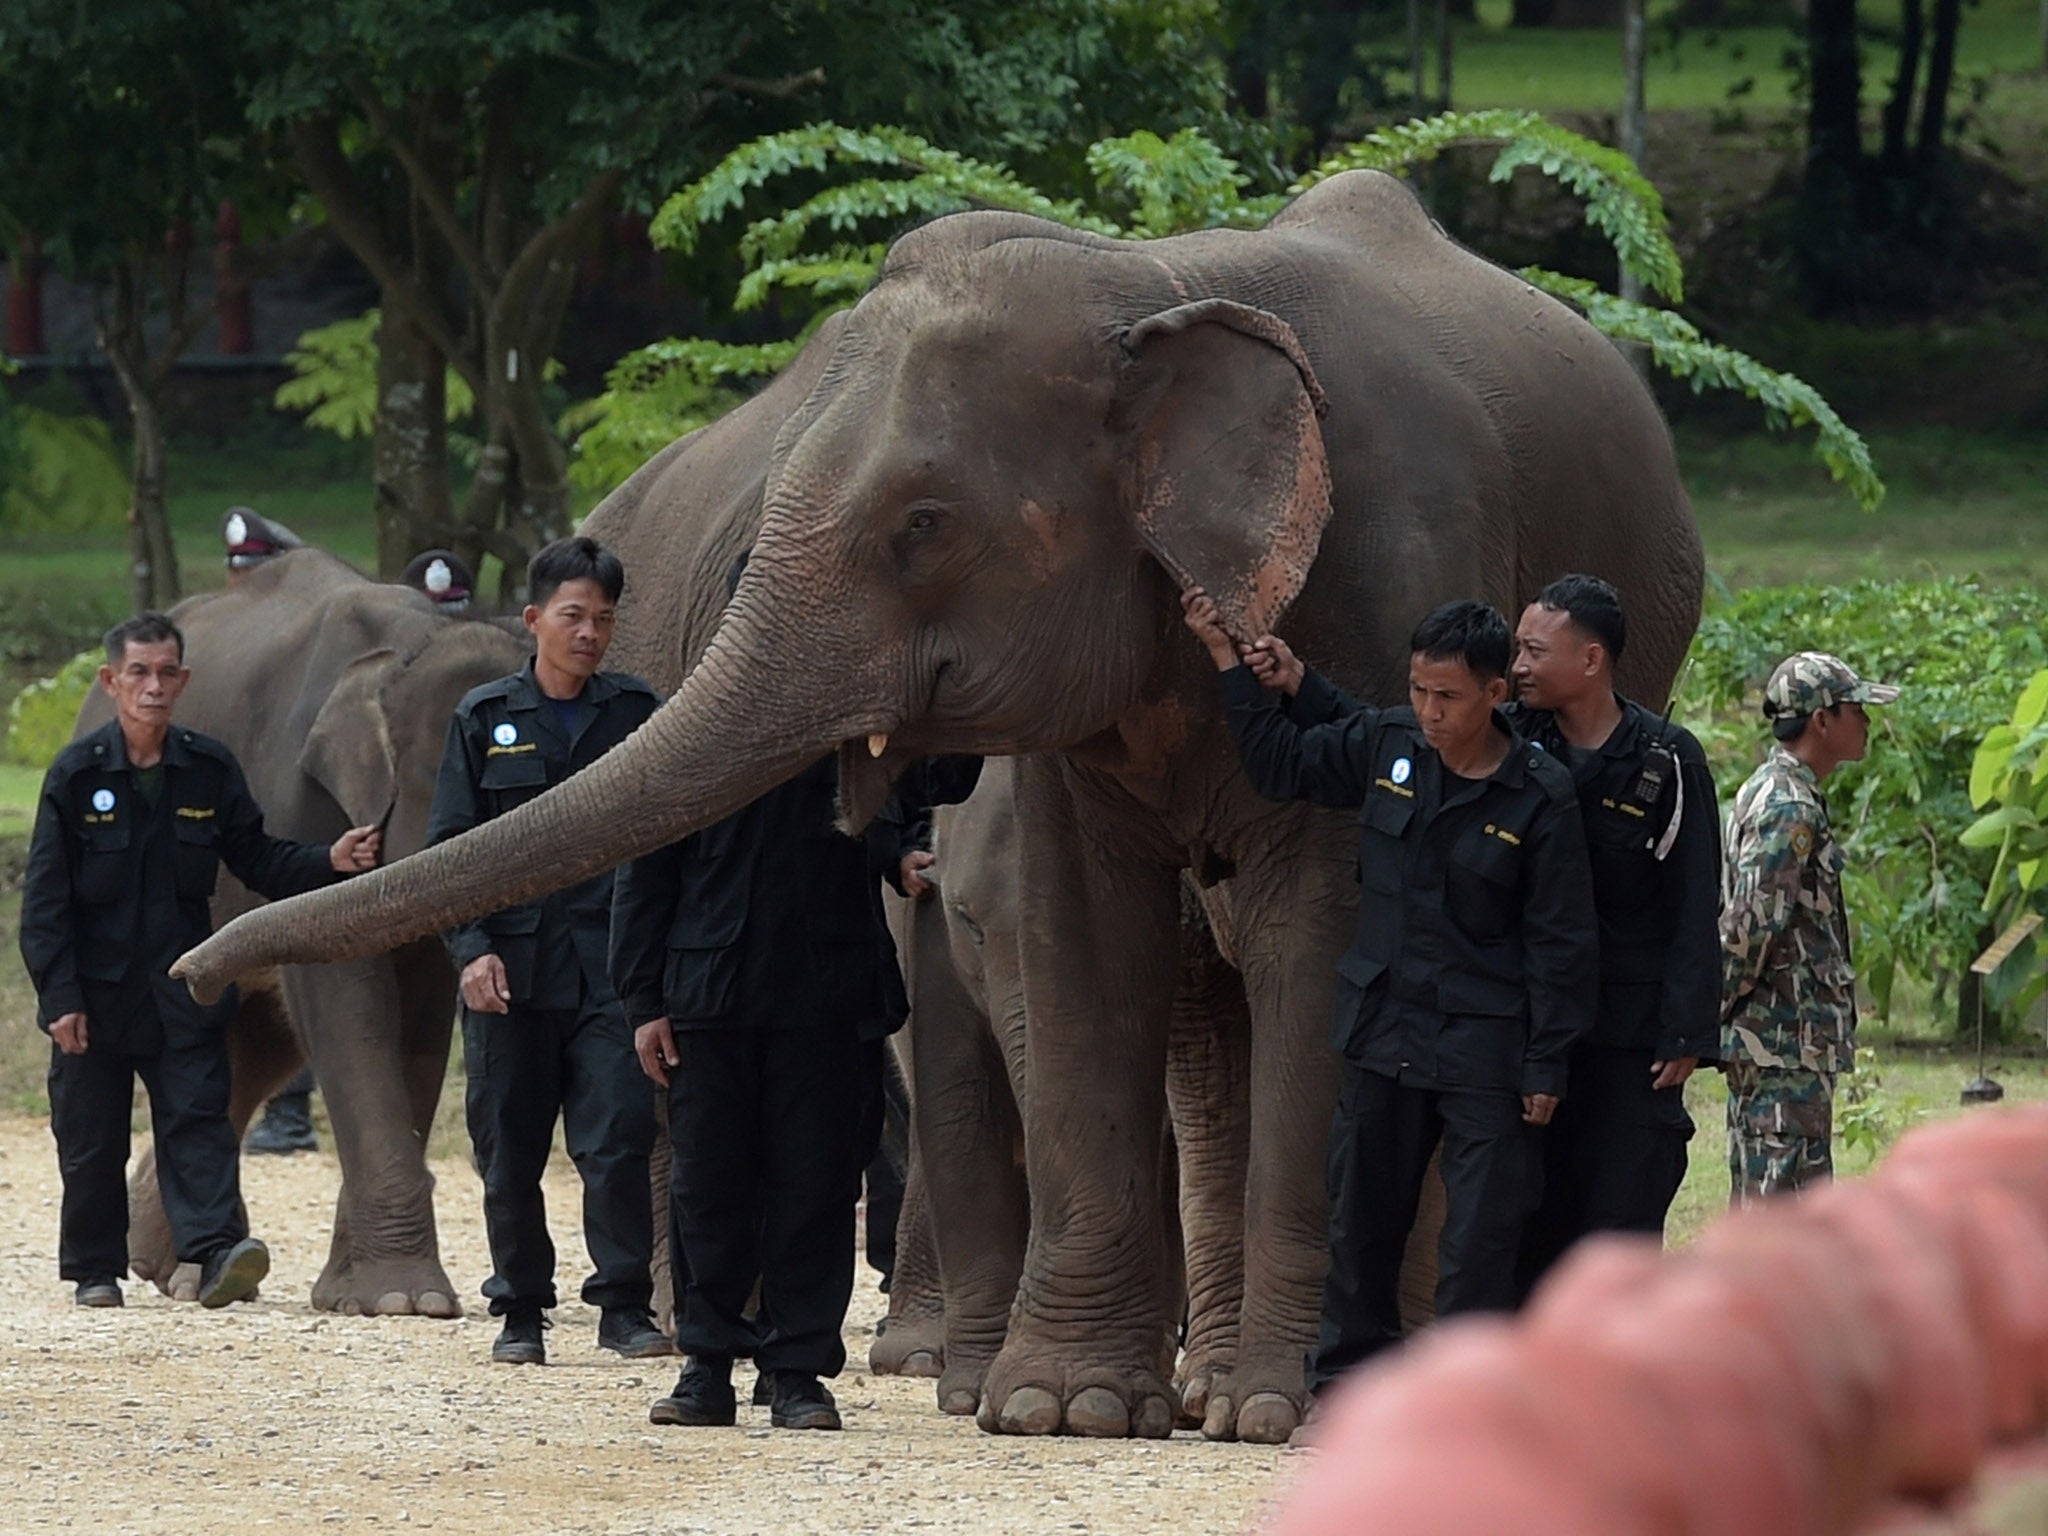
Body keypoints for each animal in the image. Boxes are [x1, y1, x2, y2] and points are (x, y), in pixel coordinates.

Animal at [184, 167, 1703, 1441]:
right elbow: (1082, 939)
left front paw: (1275, 1416)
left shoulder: (1390, 579)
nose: (192, 968)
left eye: (921, 525)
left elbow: (1332, 947)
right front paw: (1061, 1413)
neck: (1149, 283)